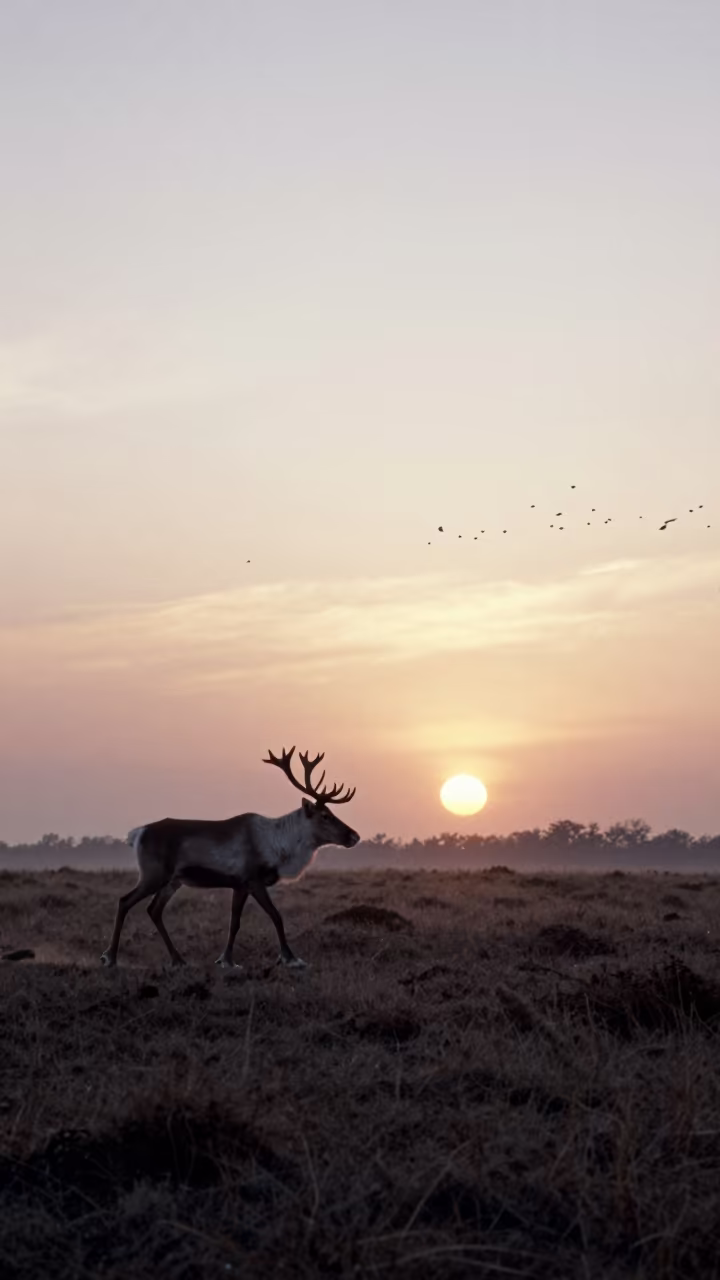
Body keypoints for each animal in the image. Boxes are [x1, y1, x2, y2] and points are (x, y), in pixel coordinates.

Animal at [100, 747, 359, 970]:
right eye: (325, 815)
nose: (354, 835)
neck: (278, 846)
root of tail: (137, 834)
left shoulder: (239, 885)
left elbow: (235, 922)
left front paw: (226, 960)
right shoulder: (252, 879)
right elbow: (275, 915)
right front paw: (291, 958)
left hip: (173, 881)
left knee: (154, 910)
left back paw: (179, 960)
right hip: (154, 874)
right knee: (125, 901)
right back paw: (110, 957)